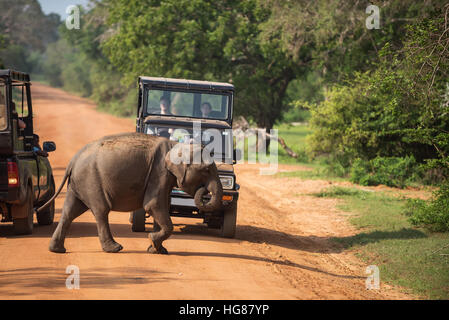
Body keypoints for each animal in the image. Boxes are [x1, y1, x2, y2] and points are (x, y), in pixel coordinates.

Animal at [37, 132, 223, 255]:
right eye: (206, 170)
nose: (204, 190)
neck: (176, 144)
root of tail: (73, 160)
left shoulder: (164, 177)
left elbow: (161, 205)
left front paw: (157, 249)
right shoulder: (159, 172)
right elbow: (153, 205)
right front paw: (152, 241)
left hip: (78, 183)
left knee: (70, 211)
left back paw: (57, 250)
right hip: (91, 179)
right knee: (101, 210)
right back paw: (115, 248)